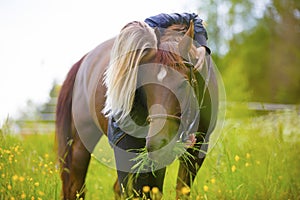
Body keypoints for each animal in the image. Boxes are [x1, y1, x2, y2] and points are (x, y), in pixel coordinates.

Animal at [55, 19, 218, 198]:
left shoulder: (197, 150)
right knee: (76, 187)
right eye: (144, 86)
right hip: (81, 144)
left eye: (183, 84)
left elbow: (182, 190)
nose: (157, 143)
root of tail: (84, 61)